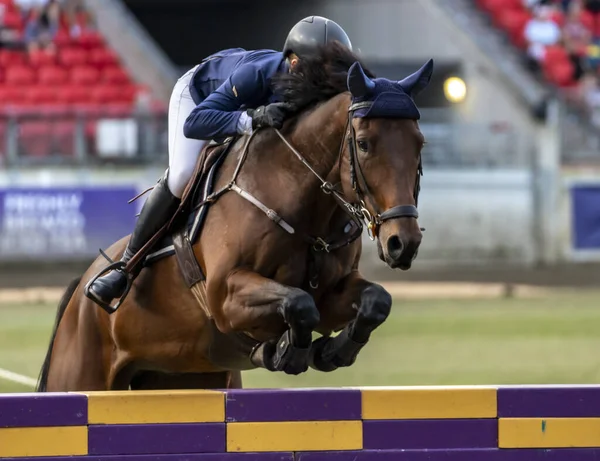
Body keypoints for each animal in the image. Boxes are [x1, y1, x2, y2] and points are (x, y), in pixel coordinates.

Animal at [36, 43, 432, 390]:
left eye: (420, 143)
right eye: (363, 143)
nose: (403, 243)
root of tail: (79, 291)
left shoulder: (333, 291)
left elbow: (376, 301)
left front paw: (333, 351)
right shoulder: (226, 295)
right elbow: (298, 304)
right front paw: (287, 351)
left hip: (184, 377)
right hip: (80, 376)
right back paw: (110, 283)